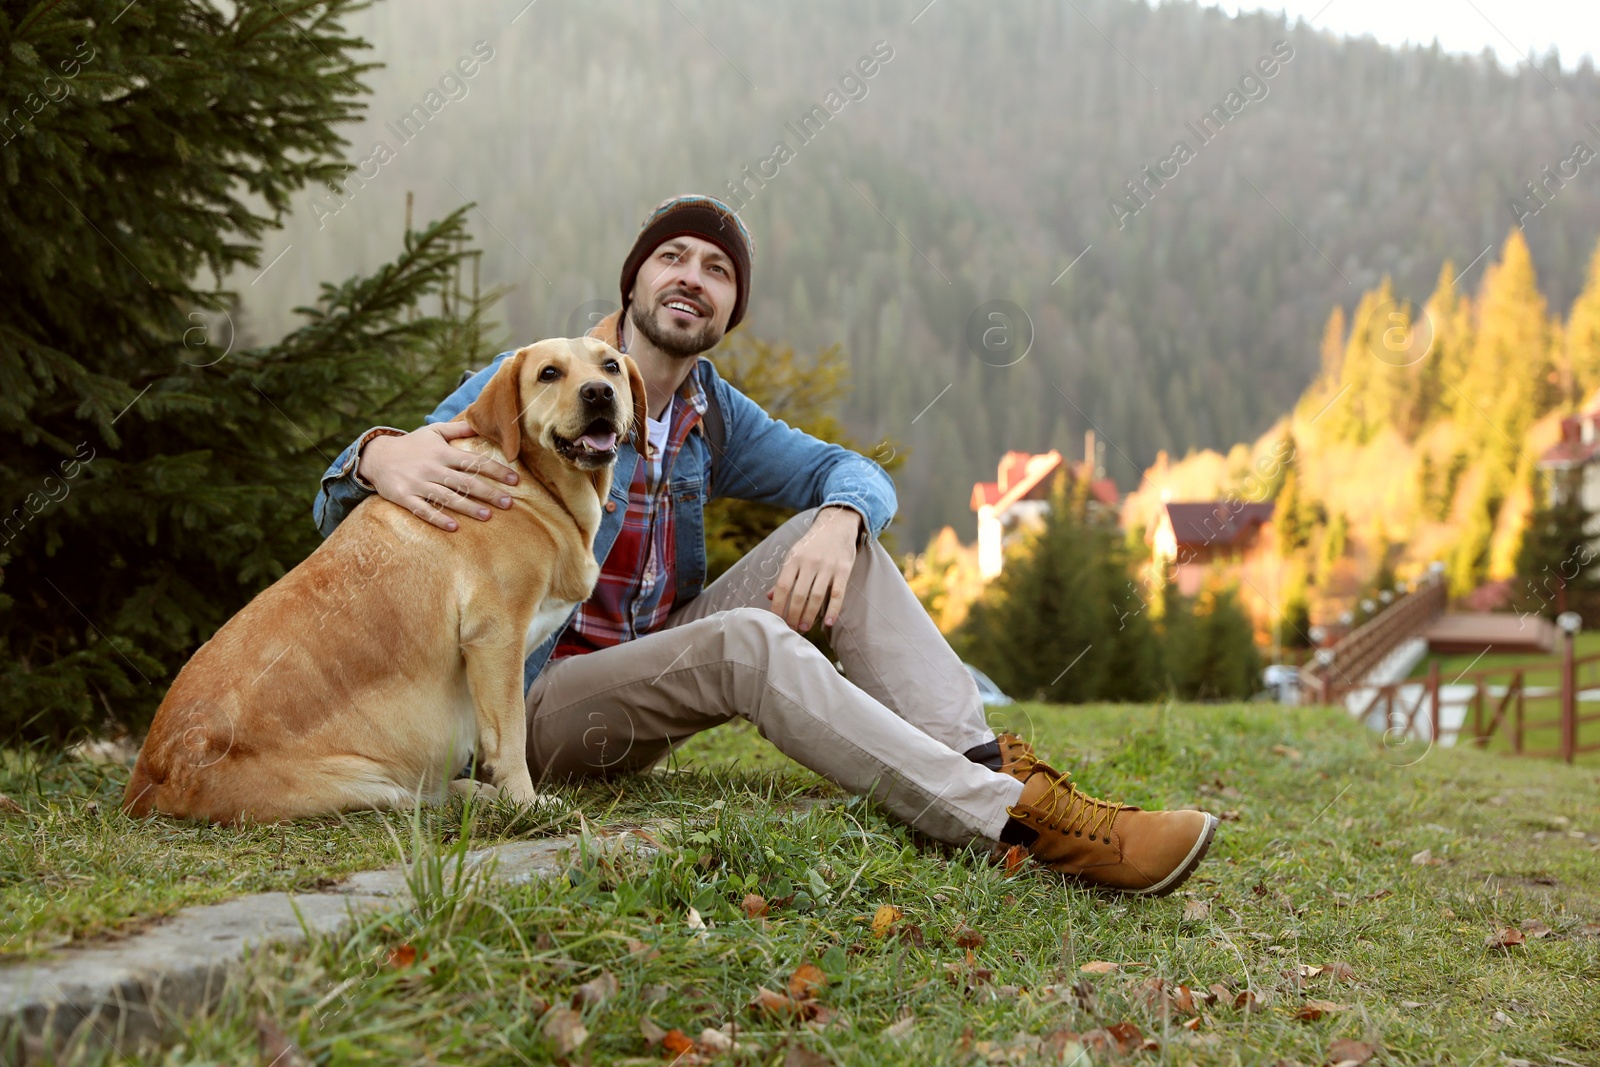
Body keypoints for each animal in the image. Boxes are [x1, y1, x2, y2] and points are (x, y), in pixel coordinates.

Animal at [128, 337, 643, 825]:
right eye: (548, 373)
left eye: (611, 366)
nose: (599, 392)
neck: (537, 481)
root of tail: (150, 778)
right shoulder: (496, 638)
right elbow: (509, 738)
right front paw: (526, 804)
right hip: (366, 781)